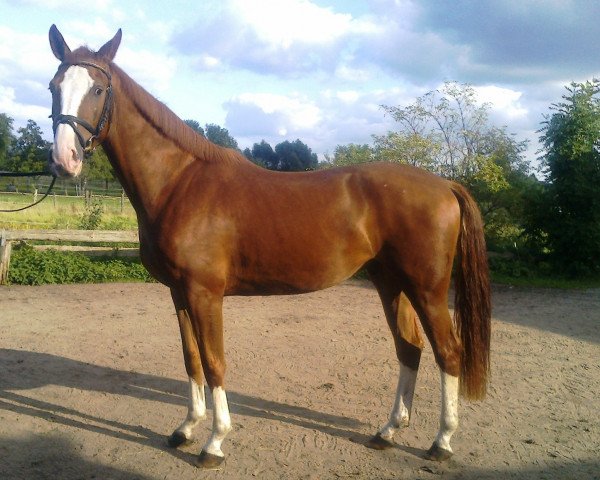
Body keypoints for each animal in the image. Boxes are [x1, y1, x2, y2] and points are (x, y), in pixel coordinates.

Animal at [47, 26, 488, 468]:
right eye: (53, 86)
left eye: (99, 89)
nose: (64, 160)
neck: (179, 183)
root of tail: (443, 185)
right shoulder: (178, 293)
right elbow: (191, 360)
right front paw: (185, 429)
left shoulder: (205, 294)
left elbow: (214, 363)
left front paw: (214, 442)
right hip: (390, 282)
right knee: (408, 349)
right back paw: (388, 432)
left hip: (427, 289)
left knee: (448, 352)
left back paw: (442, 441)